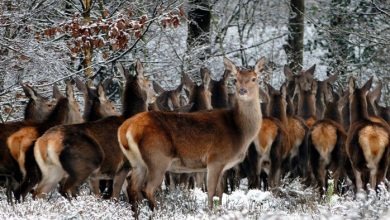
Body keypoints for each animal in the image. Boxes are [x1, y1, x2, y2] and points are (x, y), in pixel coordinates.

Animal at [32, 59, 154, 199]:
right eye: (149, 84)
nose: (155, 96)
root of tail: (46, 141)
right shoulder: (123, 166)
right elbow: (116, 196)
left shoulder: (98, 176)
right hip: (85, 163)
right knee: (67, 188)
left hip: (51, 170)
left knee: (38, 193)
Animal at [118, 57, 266, 213]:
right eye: (235, 79)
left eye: (254, 78)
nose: (242, 90)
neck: (239, 131)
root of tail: (126, 128)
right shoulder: (215, 159)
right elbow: (211, 192)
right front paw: (210, 212)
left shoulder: (222, 165)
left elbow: (220, 193)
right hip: (157, 158)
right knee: (147, 188)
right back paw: (159, 212)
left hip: (137, 162)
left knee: (132, 188)